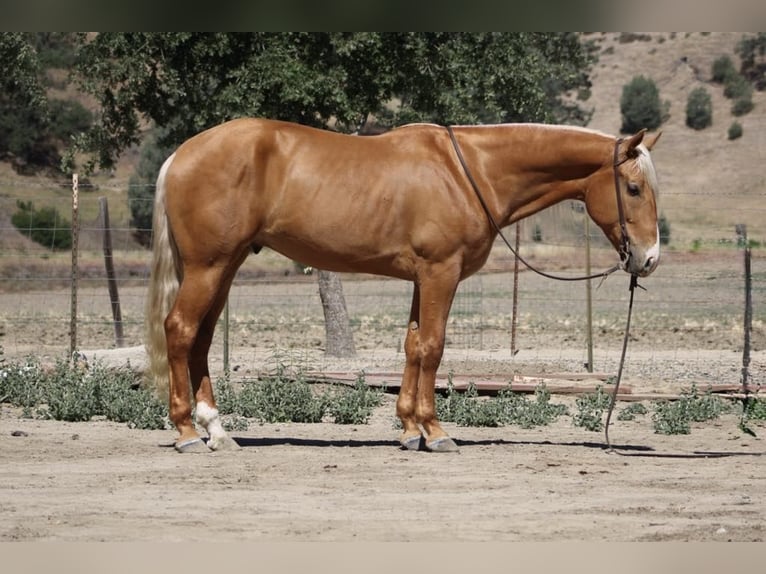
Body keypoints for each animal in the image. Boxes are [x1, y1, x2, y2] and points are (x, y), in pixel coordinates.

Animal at [145, 118, 661, 453]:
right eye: (633, 189)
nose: (649, 258)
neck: (469, 172)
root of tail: (182, 154)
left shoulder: (422, 278)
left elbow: (413, 346)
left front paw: (411, 429)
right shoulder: (440, 273)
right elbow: (432, 346)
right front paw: (436, 431)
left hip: (225, 266)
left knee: (201, 338)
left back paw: (217, 431)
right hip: (209, 266)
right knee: (180, 330)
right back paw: (187, 433)